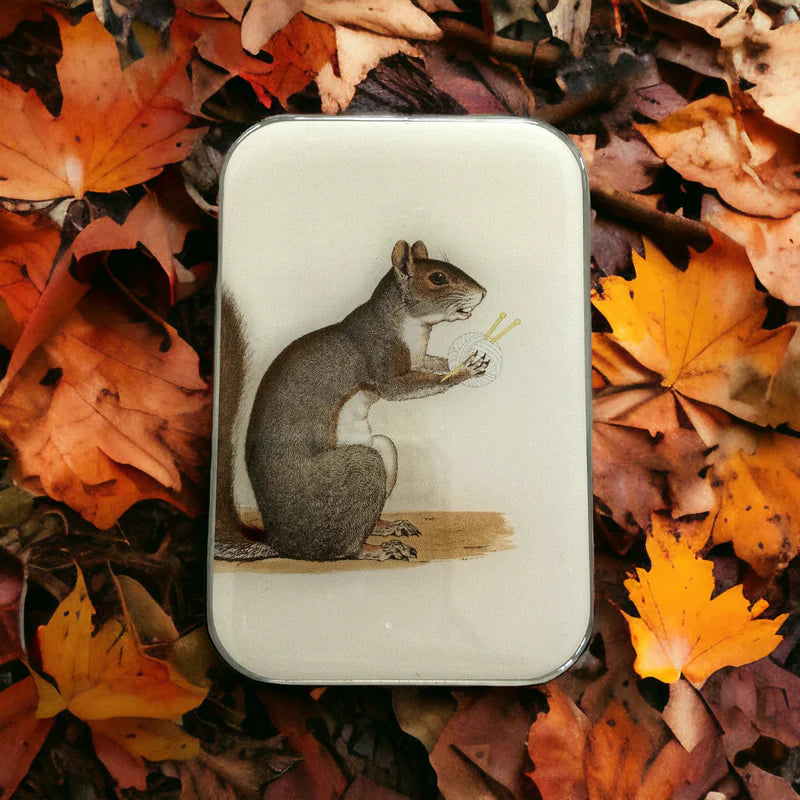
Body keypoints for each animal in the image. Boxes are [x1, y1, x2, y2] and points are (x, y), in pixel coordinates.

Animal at [214, 239, 489, 562]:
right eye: (437, 278)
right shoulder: (379, 357)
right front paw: (466, 370)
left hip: (383, 449)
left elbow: (433, 364)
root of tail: (281, 543)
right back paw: (380, 549)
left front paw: (460, 360)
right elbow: (404, 387)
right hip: (361, 468)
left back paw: (388, 526)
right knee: (345, 549)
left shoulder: (419, 358)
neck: (410, 326)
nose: (483, 292)